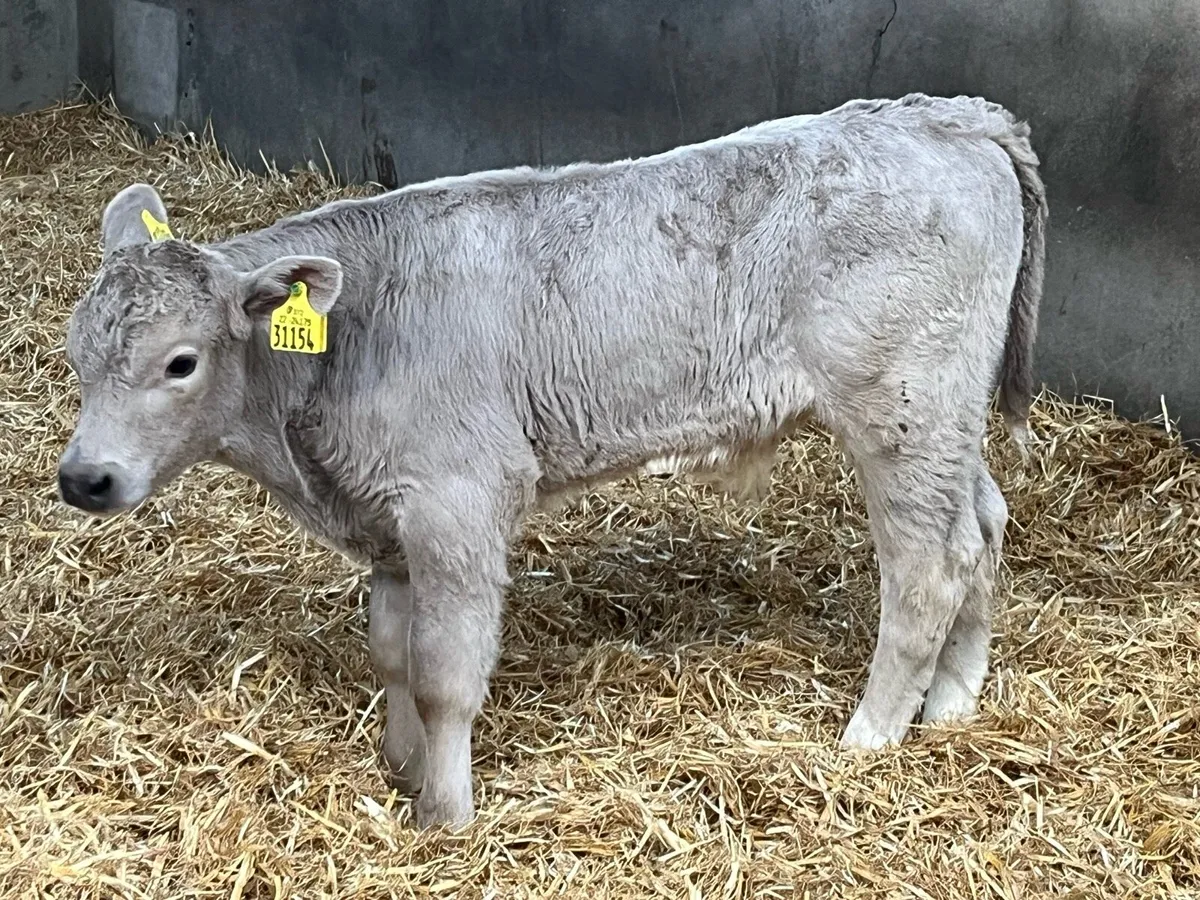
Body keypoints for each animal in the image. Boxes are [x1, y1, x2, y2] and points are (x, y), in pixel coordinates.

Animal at [56, 93, 1046, 829]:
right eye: (75, 353)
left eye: (181, 362)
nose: (82, 478)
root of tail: (948, 114)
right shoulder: (387, 520)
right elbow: (391, 654)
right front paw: (400, 766)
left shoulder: (459, 499)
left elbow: (445, 673)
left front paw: (445, 815)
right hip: (949, 415)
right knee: (983, 527)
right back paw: (952, 705)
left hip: (900, 408)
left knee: (927, 565)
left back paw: (873, 734)